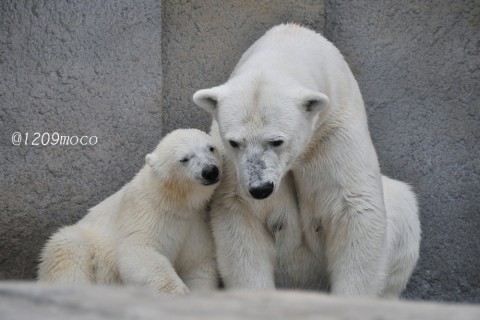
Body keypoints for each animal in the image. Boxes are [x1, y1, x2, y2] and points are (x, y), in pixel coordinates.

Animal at [38, 129, 223, 294]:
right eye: (184, 159)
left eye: (211, 148)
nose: (210, 171)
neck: (174, 201)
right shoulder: (145, 213)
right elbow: (138, 252)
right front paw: (178, 291)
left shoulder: (196, 222)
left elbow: (198, 262)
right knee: (68, 248)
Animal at [194, 23, 420, 296]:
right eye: (235, 142)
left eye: (277, 141)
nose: (260, 188)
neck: (291, 38)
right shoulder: (232, 165)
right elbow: (241, 214)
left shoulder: (333, 134)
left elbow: (355, 208)